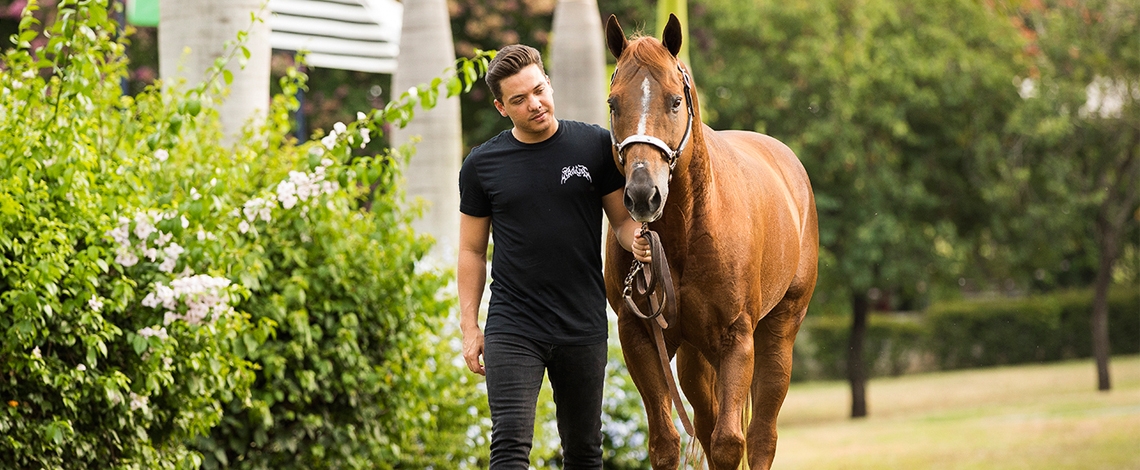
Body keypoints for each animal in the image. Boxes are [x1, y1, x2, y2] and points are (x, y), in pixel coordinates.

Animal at [603, 14, 819, 470]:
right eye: (614, 104)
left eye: (674, 101)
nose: (643, 194)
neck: (686, 234)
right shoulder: (640, 337)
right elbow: (665, 443)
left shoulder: (737, 340)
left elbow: (728, 444)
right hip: (695, 357)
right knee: (705, 423)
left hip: (778, 335)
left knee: (760, 437)